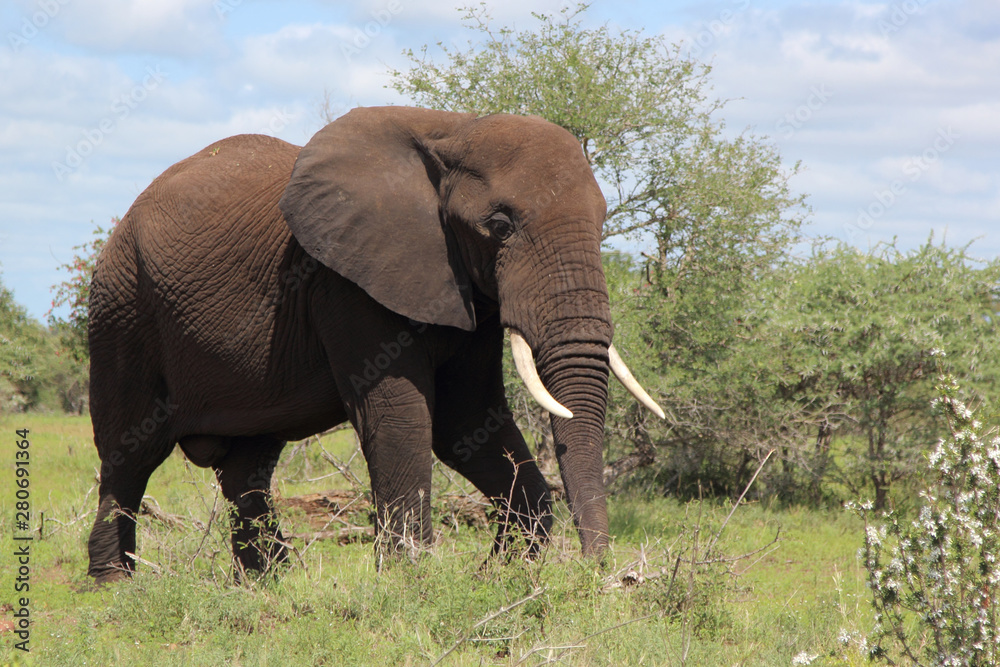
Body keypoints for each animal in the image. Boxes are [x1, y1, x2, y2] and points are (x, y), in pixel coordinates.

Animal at [86, 106, 664, 583]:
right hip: (121, 306)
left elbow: (467, 420)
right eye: (500, 225)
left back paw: (267, 584)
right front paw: (412, 580)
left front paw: (498, 575)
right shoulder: (345, 281)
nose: (599, 569)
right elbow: (402, 415)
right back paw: (116, 585)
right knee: (130, 453)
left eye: (603, 219)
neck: (453, 128)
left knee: (247, 464)